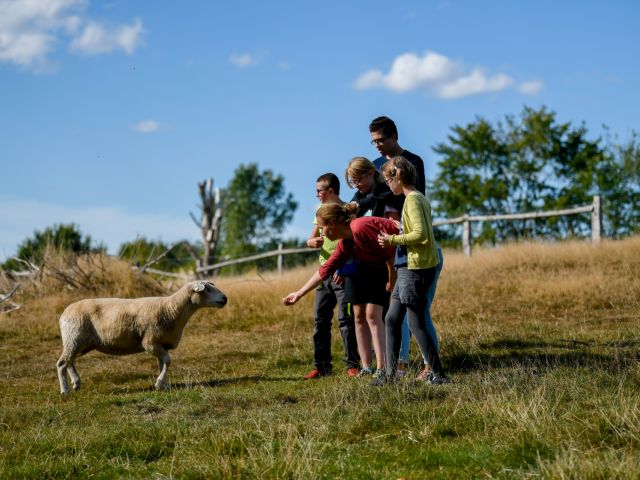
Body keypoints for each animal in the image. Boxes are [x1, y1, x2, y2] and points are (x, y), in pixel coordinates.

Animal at [56, 280, 227, 394]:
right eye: (207, 289)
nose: (225, 298)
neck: (171, 309)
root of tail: (64, 313)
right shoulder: (150, 342)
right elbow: (167, 361)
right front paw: (159, 383)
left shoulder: (161, 344)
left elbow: (163, 363)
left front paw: (164, 385)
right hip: (74, 338)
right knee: (62, 363)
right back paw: (65, 390)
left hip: (79, 343)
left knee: (70, 361)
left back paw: (76, 383)